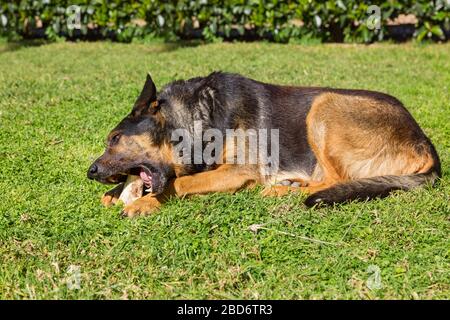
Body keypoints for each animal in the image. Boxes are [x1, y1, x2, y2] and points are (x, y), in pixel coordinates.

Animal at [87, 72, 440, 218]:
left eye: (114, 139)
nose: (91, 172)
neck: (199, 116)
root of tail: (425, 144)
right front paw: (114, 194)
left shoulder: (238, 171)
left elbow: (180, 183)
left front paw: (144, 203)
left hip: (323, 105)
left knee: (337, 180)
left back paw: (281, 190)